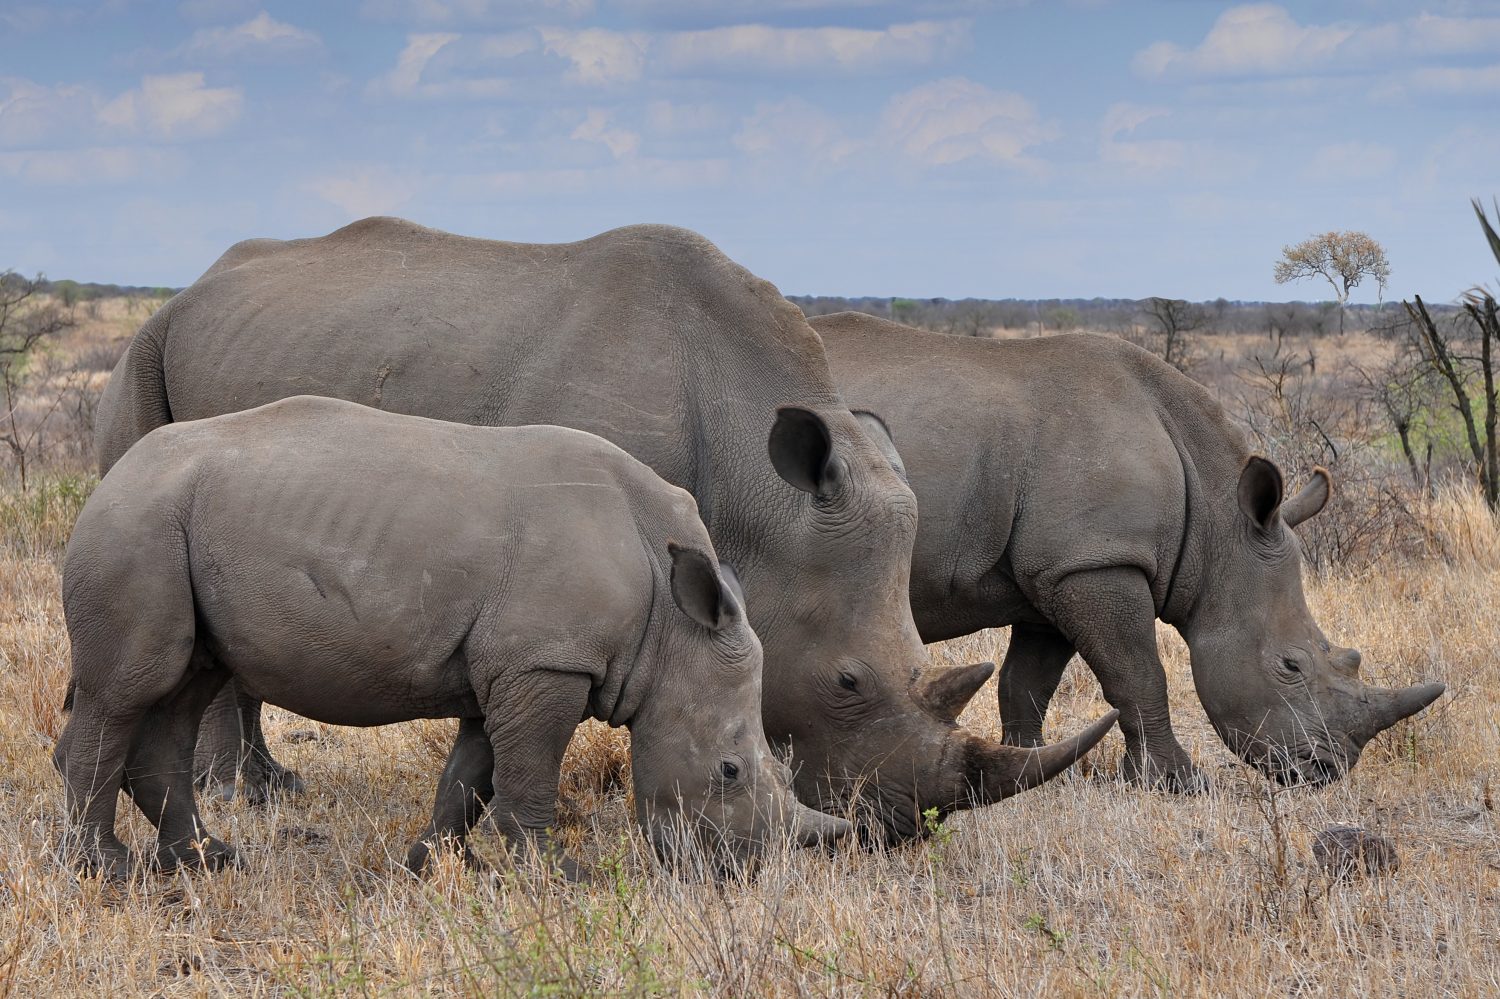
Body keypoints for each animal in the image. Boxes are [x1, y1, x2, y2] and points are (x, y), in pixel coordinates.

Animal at [58, 393, 858, 876]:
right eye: (730, 770)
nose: (743, 869)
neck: (671, 626)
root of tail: (111, 473)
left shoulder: (509, 665)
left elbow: (469, 776)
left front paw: (429, 865)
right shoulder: (547, 663)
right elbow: (529, 773)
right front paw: (556, 874)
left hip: (171, 523)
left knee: (184, 688)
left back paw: (206, 859)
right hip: (139, 524)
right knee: (128, 689)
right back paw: (104, 869)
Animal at [90, 217, 1116, 840]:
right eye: (847, 681)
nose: (902, 824)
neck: (757, 491)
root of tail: (191, 287)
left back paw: (268, 788)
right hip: (144, 356)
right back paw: (241, 795)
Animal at [816, 312, 1446, 786]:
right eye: (1289, 666)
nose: (1328, 769)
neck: (1218, 525)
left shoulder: (1059, 569)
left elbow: (1026, 684)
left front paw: (1036, 773)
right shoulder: (1097, 562)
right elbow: (1140, 674)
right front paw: (1176, 783)